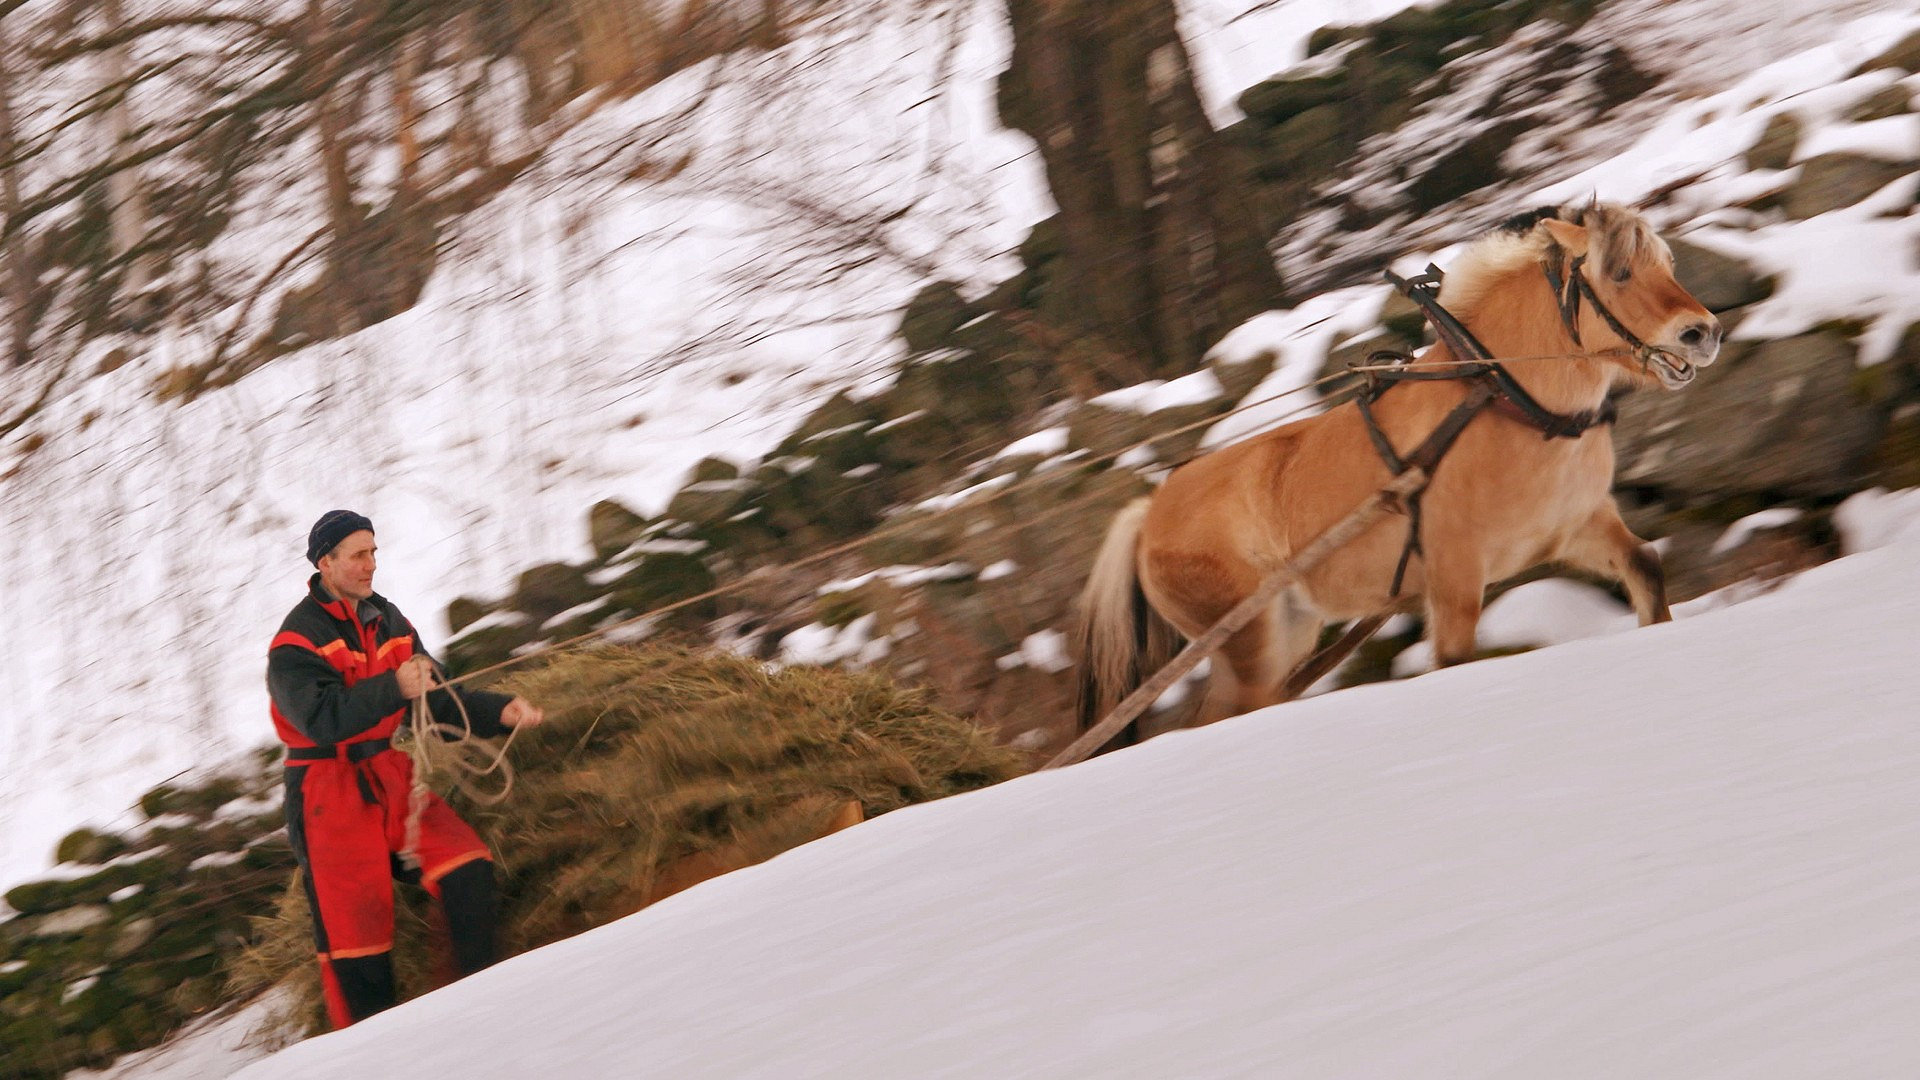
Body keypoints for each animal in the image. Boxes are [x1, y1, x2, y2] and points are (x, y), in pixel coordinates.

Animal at [1082, 197, 1728, 745]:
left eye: (1666, 263)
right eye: (1618, 272)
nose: (1703, 332)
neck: (1505, 399)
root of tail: (1151, 513)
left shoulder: (1576, 527)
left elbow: (1645, 569)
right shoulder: (1456, 575)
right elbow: (1454, 660)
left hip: (1286, 630)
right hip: (1246, 643)